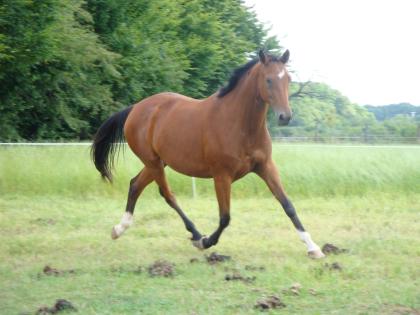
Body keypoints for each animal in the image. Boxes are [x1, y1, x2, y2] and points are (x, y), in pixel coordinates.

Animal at [92, 50, 324, 260]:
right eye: (268, 80)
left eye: (288, 79)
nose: (286, 117)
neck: (241, 125)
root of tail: (136, 108)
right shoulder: (222, 175)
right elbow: (225, 217)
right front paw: (206, 242)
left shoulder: (265, 167)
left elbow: (288, 205)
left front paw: (313, 247)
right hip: (153, 163)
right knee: (167, 194)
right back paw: (195, 234)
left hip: (158, 162)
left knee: (135, 185)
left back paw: (119, 229)